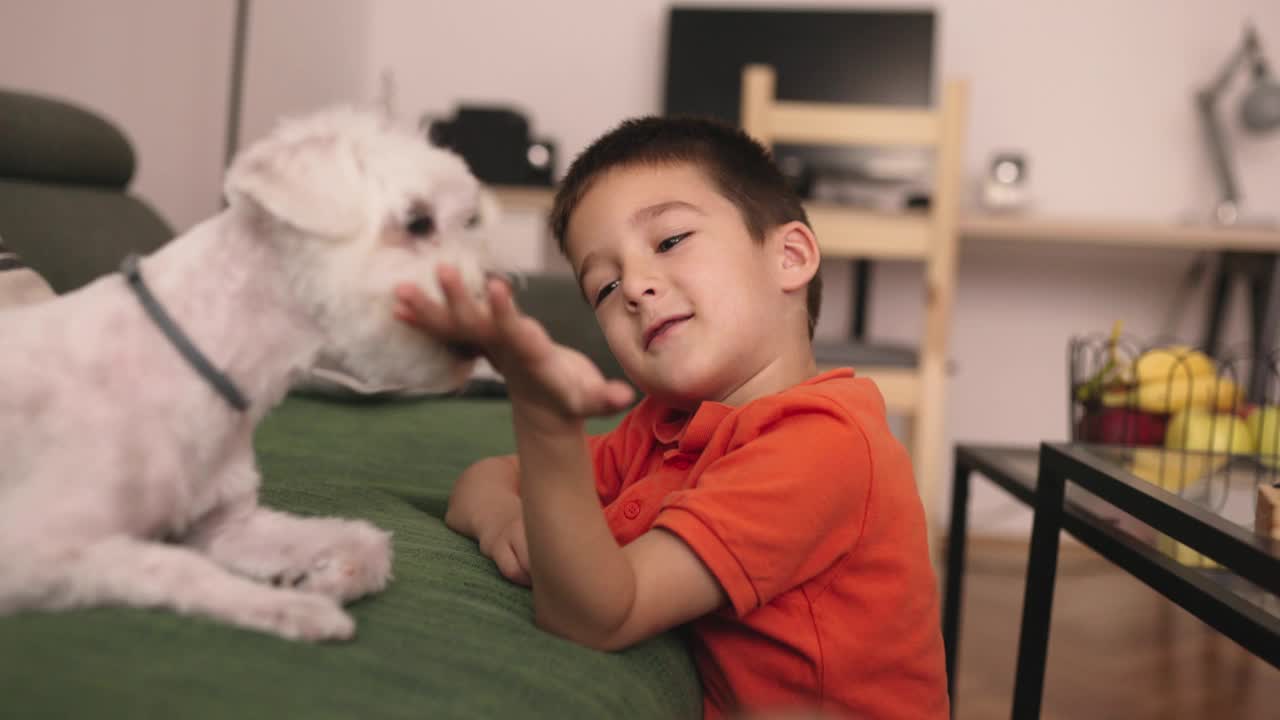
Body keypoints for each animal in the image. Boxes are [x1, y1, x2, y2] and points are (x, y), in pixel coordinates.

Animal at [0, 107, 491, 638]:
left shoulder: (230, 526)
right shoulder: (34, 546)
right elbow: (179, 566)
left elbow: (366, 540)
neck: (204, 354)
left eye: (469, 221)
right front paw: (300, 609)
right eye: (418, 222)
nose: (488, 314)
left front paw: (325, 579)